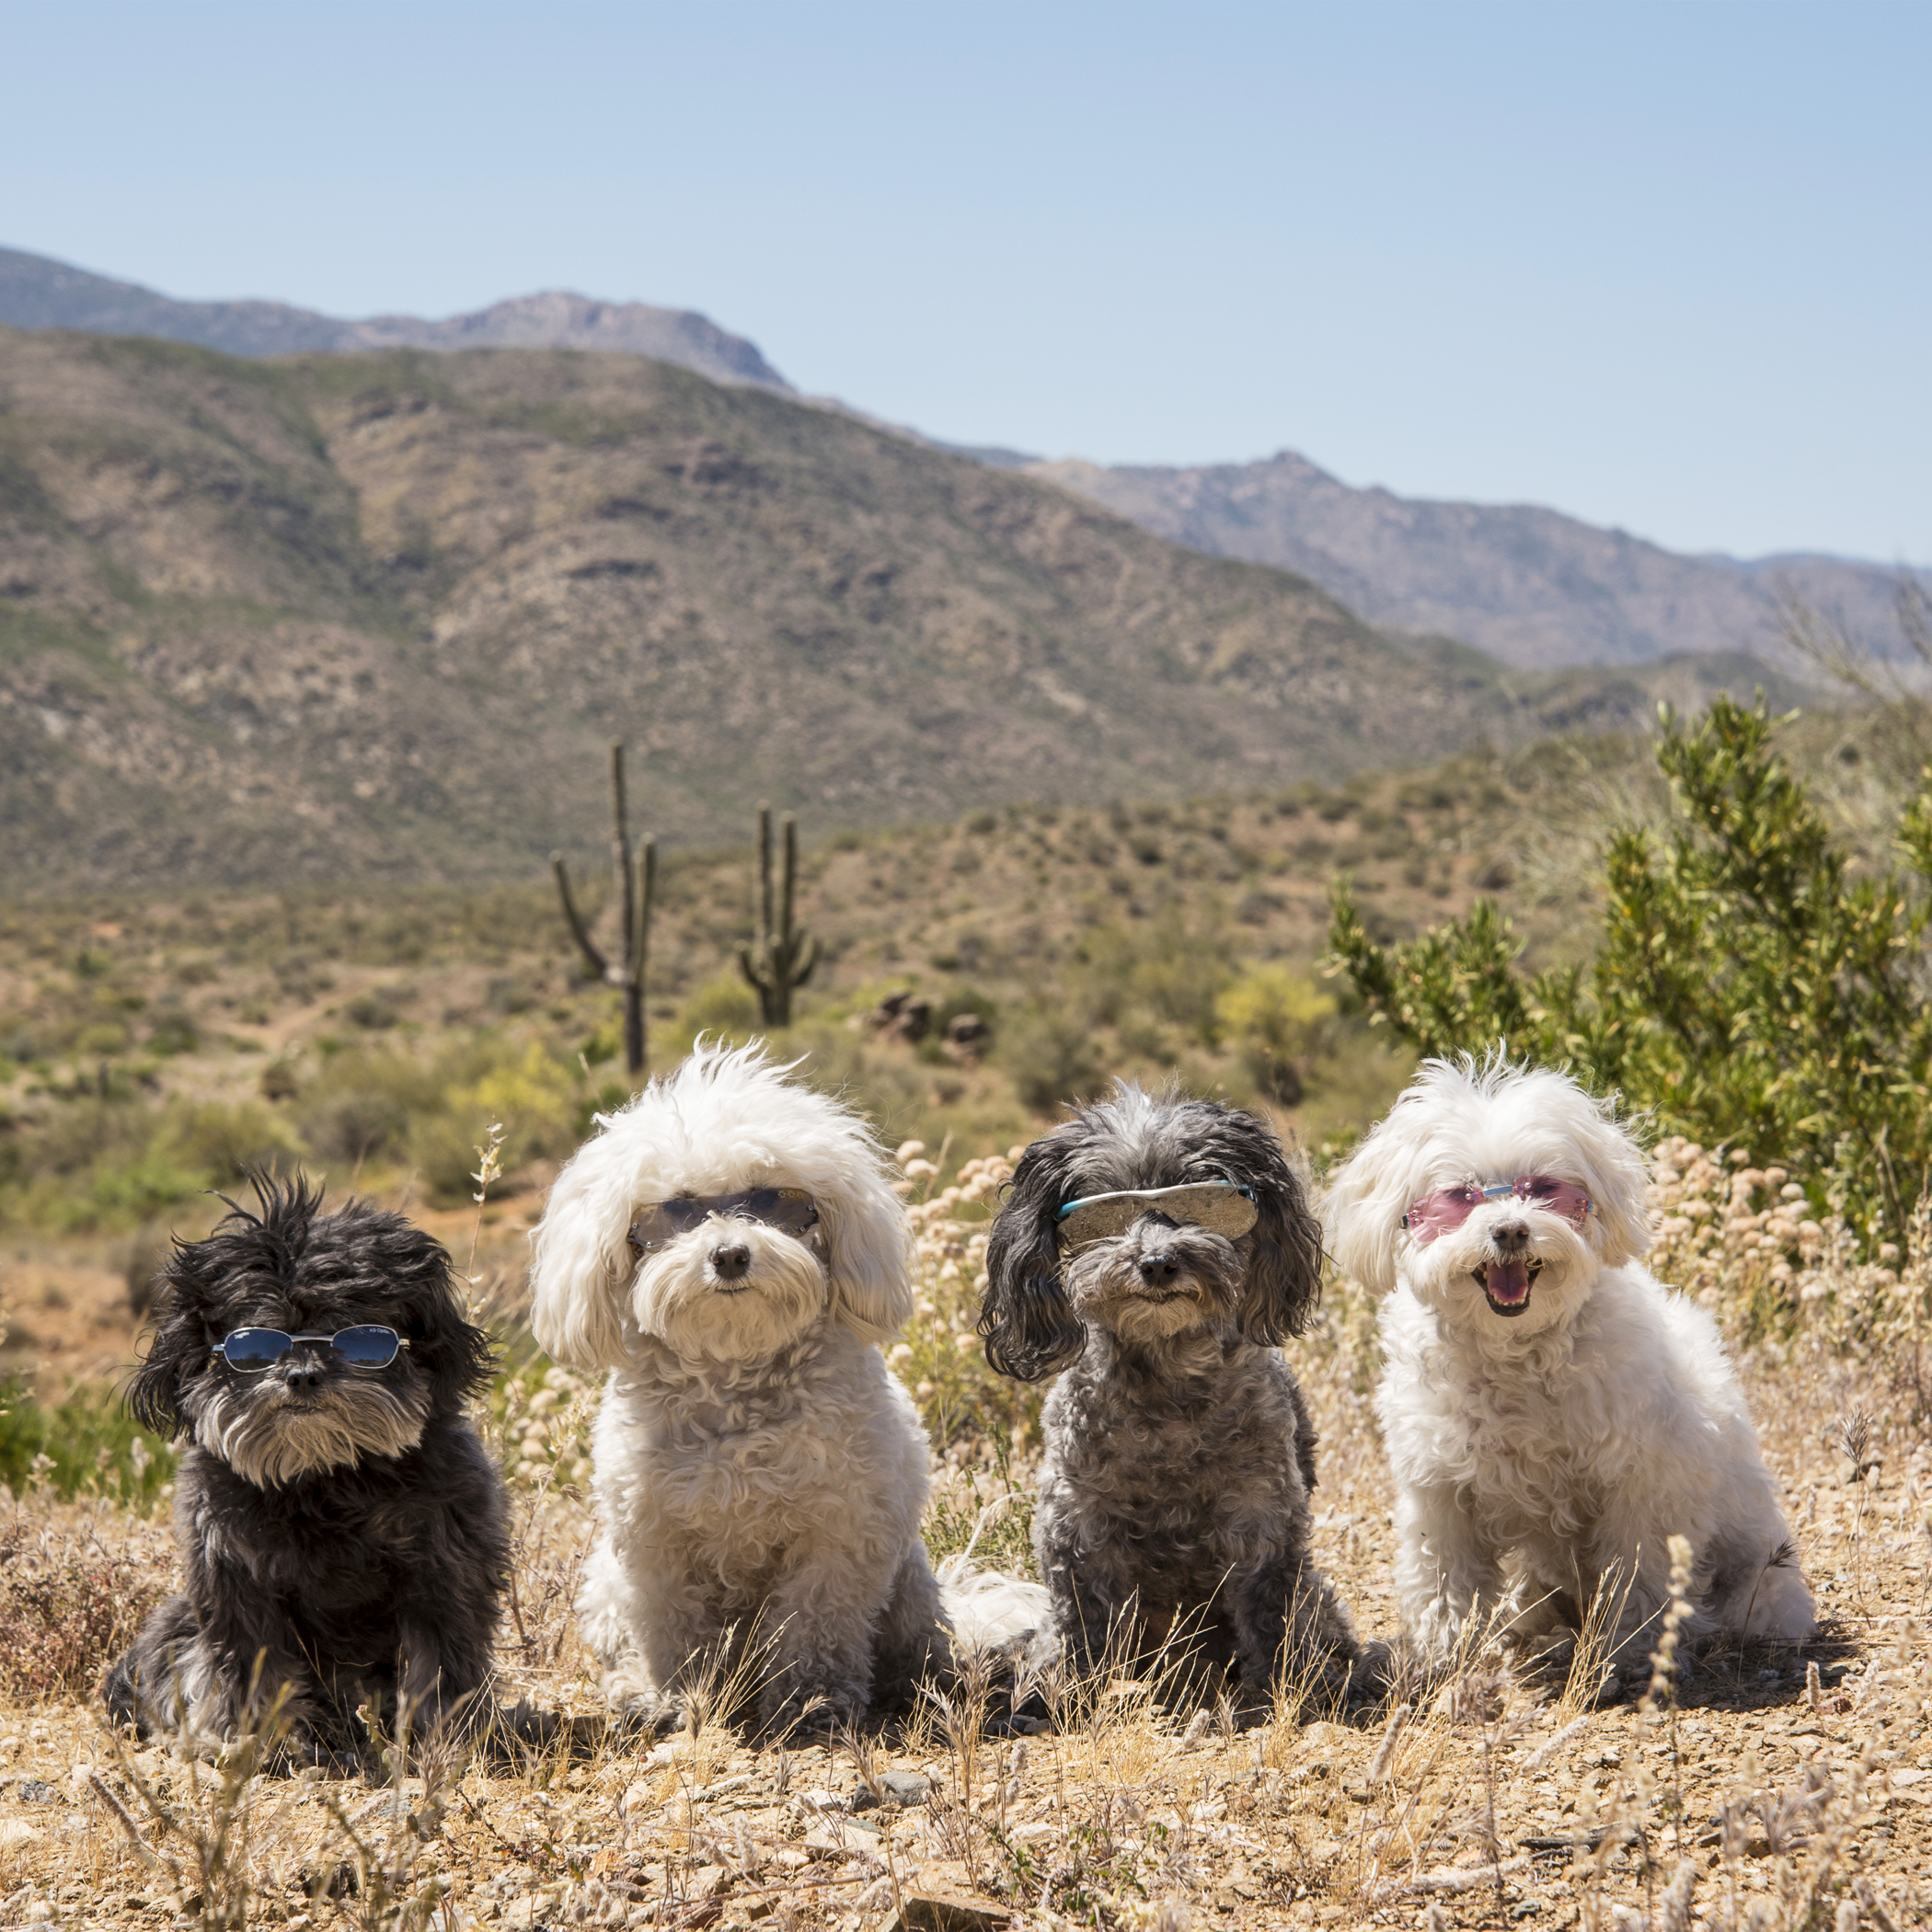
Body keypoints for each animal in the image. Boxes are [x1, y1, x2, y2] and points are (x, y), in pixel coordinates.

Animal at [109, 1174, 510, 1769]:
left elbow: (438, 1668)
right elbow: (258, 1673)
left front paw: (441, 1746)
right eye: (254, 1341)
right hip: (175, 1625)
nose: (300, 1374)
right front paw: (272, 1746)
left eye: (358, 1333)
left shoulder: (445, 1569)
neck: (323, 1476)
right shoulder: (235, 1580)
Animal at [533, 1043, 954, 1738]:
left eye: (774, 1200)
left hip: (911, 1593)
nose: (730, 1255)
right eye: (676, 1209)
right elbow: (675, 1633)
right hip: (606, 1585)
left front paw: (812, 1701)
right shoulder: (655, 1546)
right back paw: (635, 1692)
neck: (734, 1374)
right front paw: (683, 1700)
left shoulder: (840, 1533)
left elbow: (816, 1625)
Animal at [981, 1089, 1375, 1723]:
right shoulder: (1077, 1520)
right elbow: (1083, 1619)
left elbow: (1268, 1611)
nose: (1159, 1262)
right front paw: (1075, 1694)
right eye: (1105, 1209)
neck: (1167, 1385)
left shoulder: (1262, 1514)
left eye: (1203, 1198)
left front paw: (1278, 1692)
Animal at [1328, 1058, 1808, 1692]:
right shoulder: (1442, 1492)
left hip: (1754, 1567)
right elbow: (1443, 1579)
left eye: (1544, 1190)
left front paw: (1632, 1650)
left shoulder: (1641, 1485)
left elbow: (1638, 1576)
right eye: (1459, 1197)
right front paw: (1445, 1655)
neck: (1516, 1354)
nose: (1510, 1230)